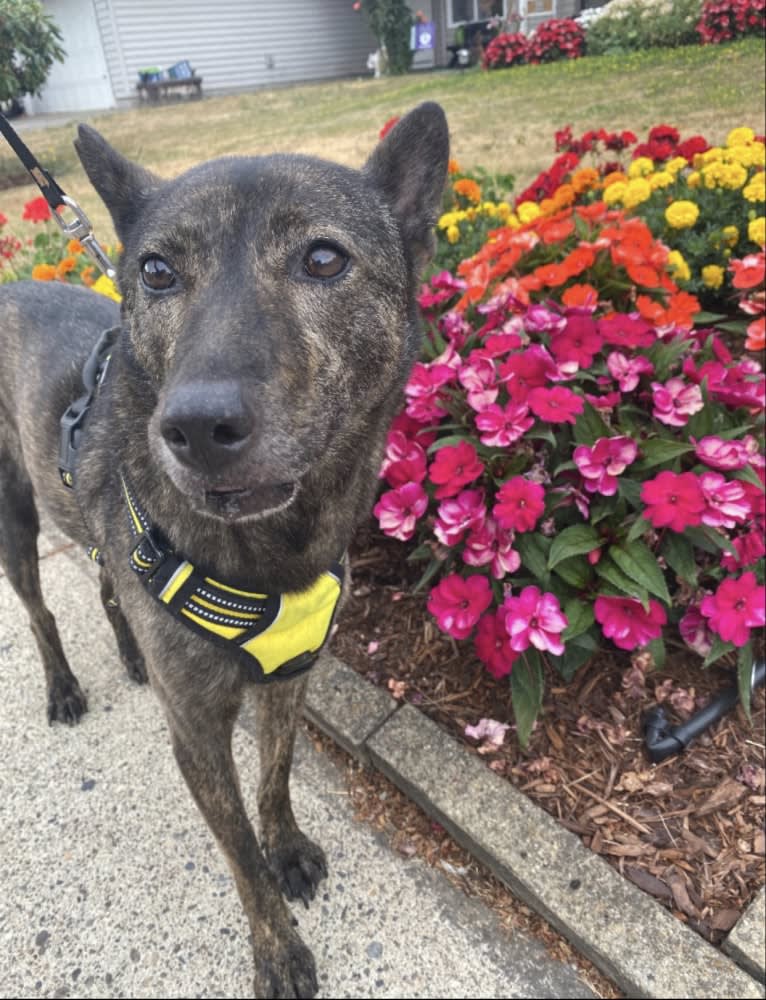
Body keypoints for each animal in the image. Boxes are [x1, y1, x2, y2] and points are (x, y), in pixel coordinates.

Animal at [0, 105, 450, 996]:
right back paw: (64, 685)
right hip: (14, 515)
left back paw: (131, 653)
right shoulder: (200, 735)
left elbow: (274, 779)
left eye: (323, 258)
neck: (274, 552)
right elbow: (237, 846)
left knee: (107, 583)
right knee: (39, 611)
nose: (197, 427)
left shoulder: (289, 681)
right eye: (157, 271)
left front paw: (290, 849)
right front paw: (275, 948)